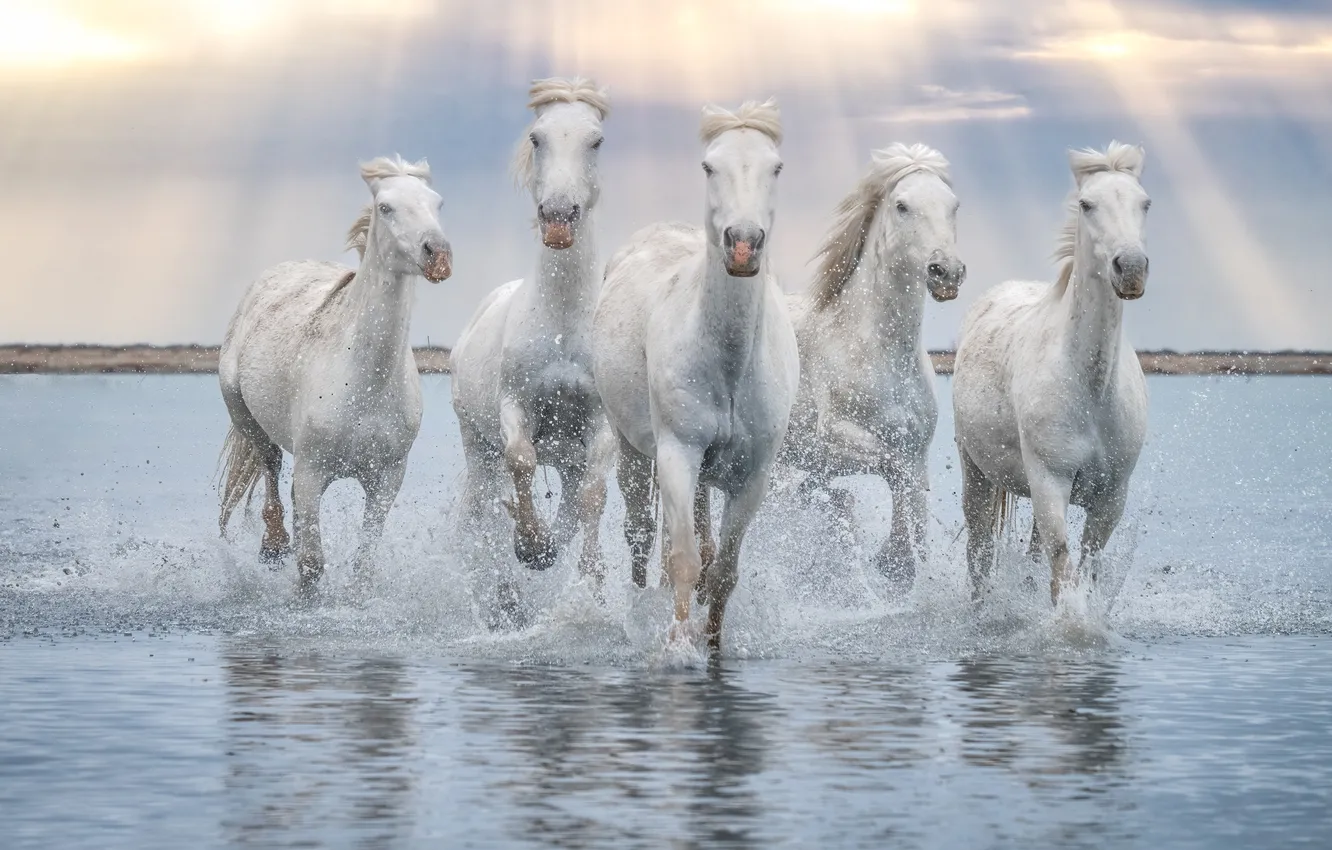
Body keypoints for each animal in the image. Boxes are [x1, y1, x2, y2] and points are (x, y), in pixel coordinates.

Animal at [218, 155, 452, 588]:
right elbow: (311, 565)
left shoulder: (386, 479)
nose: (438, 254)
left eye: (437, 203)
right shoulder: (312, 473)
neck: (364, 380)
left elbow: (364, 563)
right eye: (385, 207)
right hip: (245, 416)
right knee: (270, 465)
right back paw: (273, 545)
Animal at [449, 77, 613, 588]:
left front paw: (589, 575)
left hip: (567, 458)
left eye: (596, 140)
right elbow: (520, 459)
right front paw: (529, 546)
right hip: (477, 446)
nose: (559, 215)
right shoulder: (514, 403)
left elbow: (593, 496)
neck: (561, 324)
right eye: (537, 138)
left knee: (572, 502)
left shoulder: (599, 423)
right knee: (478, 509)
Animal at [592, 100, 800, 651]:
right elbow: (683, 558)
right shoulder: (678, 454)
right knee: (643, 532)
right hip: (633, 448)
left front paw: (711, 642)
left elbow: (724, 569)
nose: (743, 245)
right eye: (709, 166)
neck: (728, 363)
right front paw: (677, 645)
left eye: (776, 167)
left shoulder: (753, 476)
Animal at [779, 143, 965, 586]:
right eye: (902, 206)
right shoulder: (834, 438)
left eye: (953, 205)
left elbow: (915, 510)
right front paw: (891, 560)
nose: (946, 273)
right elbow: (890, 466)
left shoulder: (917, 452)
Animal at [952, 142, 1150, 605]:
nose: (1131, 268)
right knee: (979, 552)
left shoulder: (1111, 497)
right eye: (1087, 204)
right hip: (976, 473)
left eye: (1145, 203)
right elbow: (1063, 572)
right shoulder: (1050, 483)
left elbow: (1087, 570)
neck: (1092, 388)